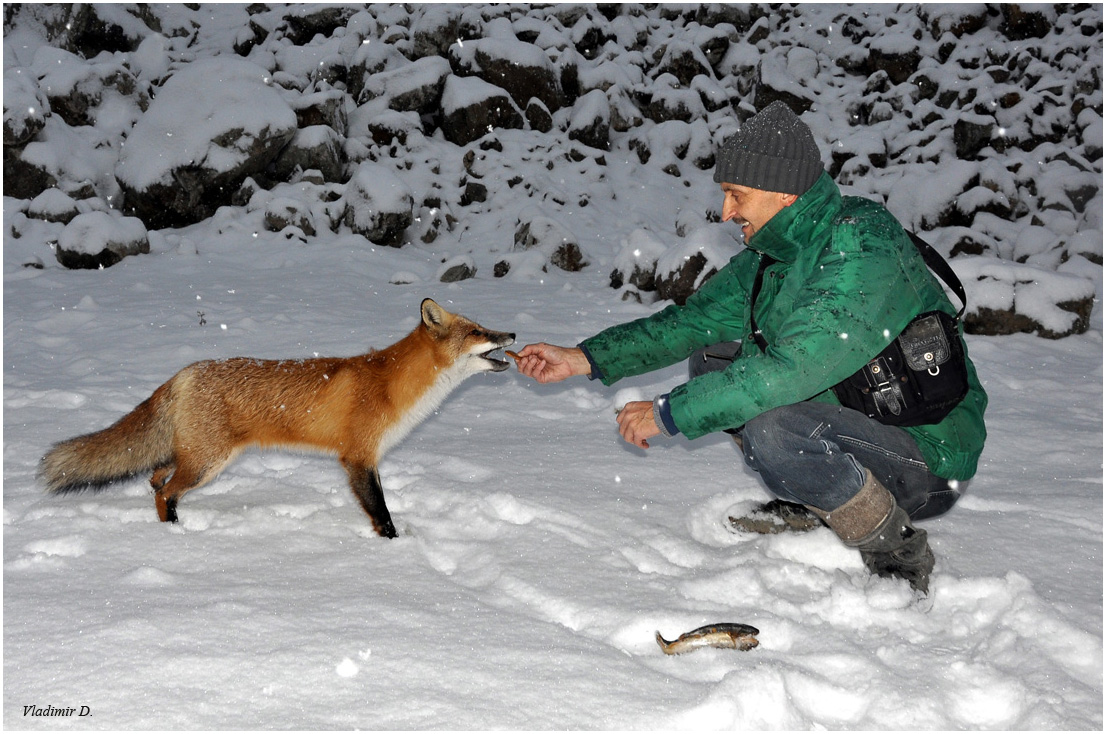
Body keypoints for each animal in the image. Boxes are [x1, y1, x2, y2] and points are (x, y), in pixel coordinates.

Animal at [38, 298, 513, 539]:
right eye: (476, 331)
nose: (511, 333)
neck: (394, 385)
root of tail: (182, 374)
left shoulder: (368, 459)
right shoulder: (359, 458)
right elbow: (382, 513)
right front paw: (394, 546)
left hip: (194, 454)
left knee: (156, 477)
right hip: (208, 463)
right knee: (166, 490)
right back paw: (175, 534)